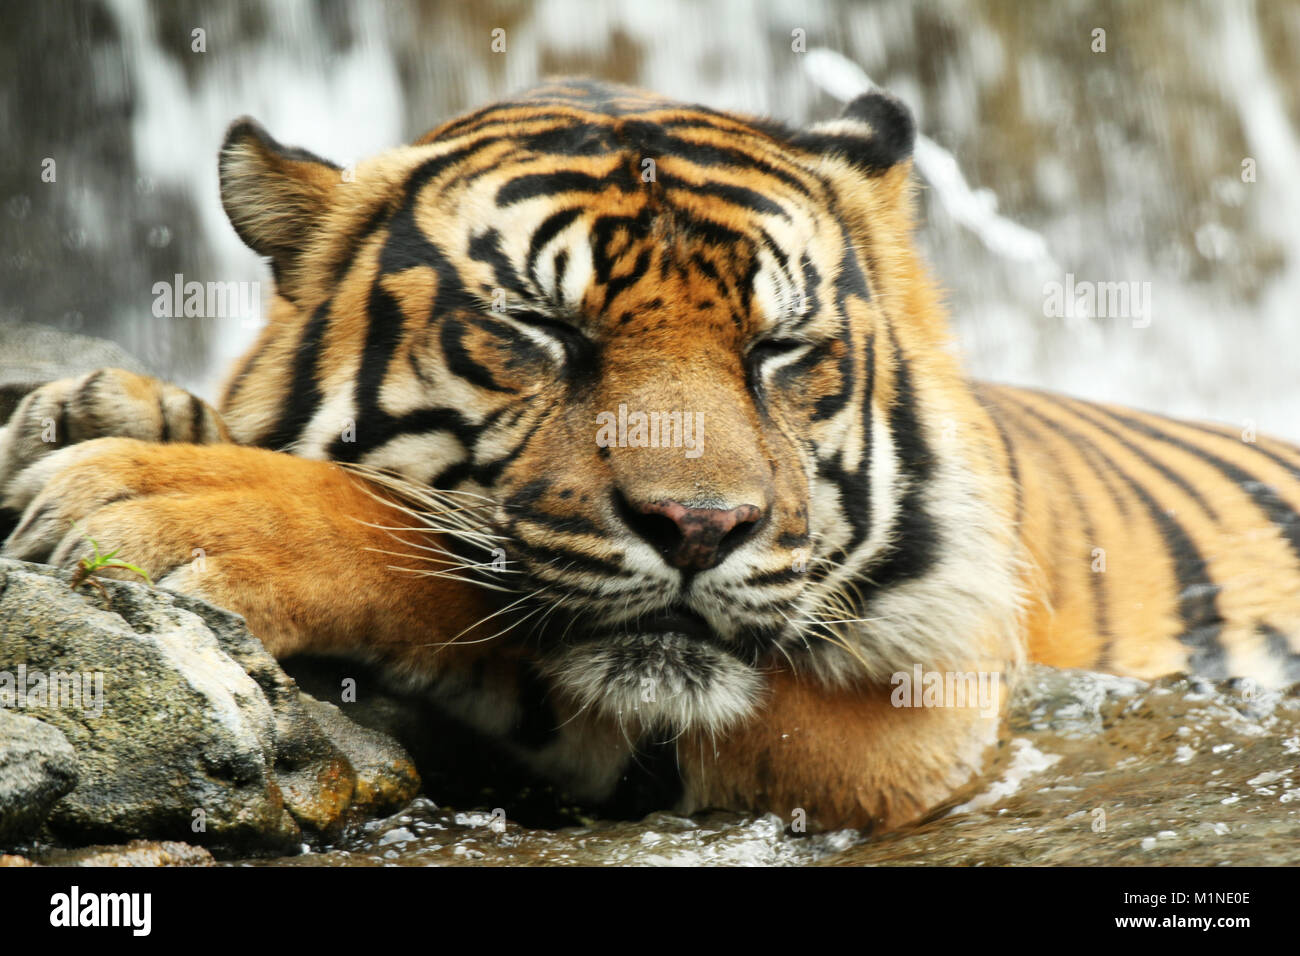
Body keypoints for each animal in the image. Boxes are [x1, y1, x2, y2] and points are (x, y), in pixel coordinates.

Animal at [2, 79, 1299, 833]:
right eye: (541, 328)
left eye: (779, 348)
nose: (700, 528)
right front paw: (96, 411)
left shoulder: (915, 723)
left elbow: (439, 559)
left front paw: (159, 498)